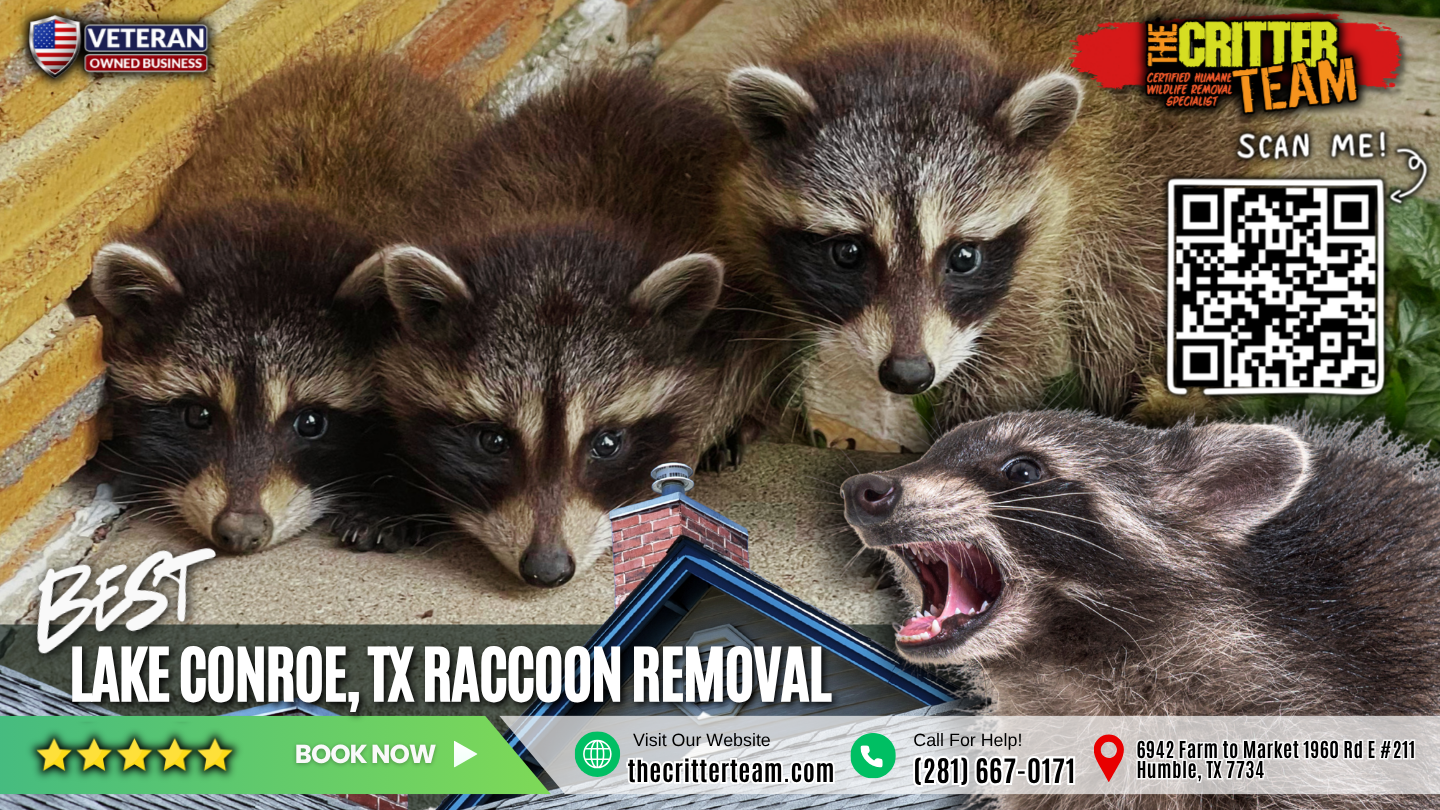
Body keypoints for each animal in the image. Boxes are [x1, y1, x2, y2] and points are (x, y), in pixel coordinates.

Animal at [720, 0, 1267, 450]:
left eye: (964, 256)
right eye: (848, 253)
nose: (908, 375)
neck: (918, 26)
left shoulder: (1053, 231)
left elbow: (1008, 357)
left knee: (1125, 306)